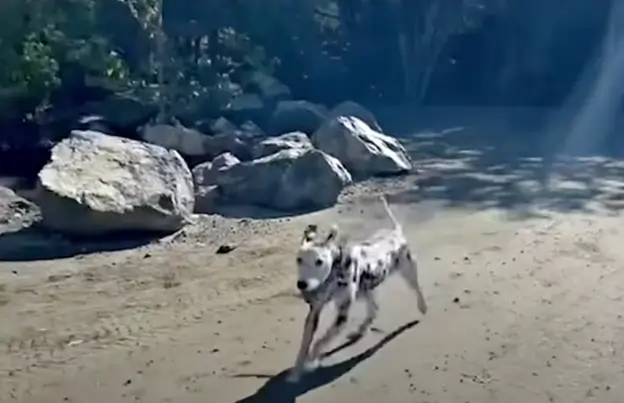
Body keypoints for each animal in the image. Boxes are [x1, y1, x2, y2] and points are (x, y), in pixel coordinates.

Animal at [288, 195, 428, 382]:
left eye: (319, 261)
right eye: (299, 259)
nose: (302, 284)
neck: (336, 271)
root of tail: (395, 233)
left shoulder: (342, 315)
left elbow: (320, 342)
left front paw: (312, 361)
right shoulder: (314, 313)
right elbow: (305, 345)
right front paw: (296, 371)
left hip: (408, 271)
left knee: (416, 288)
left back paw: (422, 306)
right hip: (364, 291)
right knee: (374, 308)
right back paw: (360, 330)